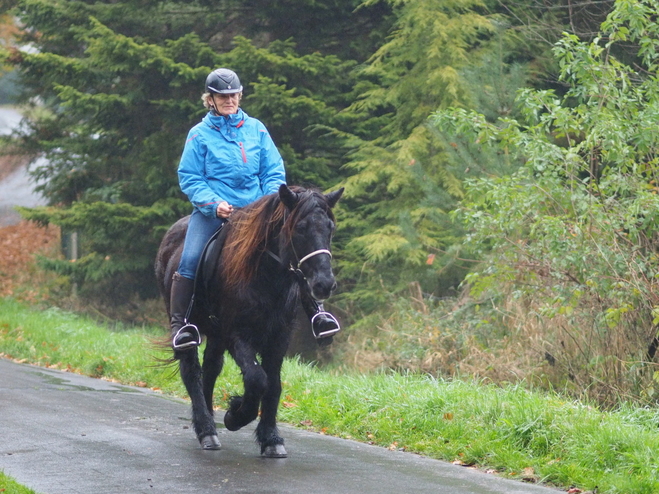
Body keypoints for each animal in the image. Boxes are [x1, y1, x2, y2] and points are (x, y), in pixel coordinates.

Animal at [155, 183, 346, 458]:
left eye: (330, 227)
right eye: (300, 227)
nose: (324, 284)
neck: (266, 276)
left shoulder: (279, 337)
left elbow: (274, 384)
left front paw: (271, 438)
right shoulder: (237, 335)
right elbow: (257, 379)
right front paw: (236, 414)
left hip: (216, 334)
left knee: (211, 368)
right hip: (190, 325)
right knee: (191, 370)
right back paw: (206, 430)